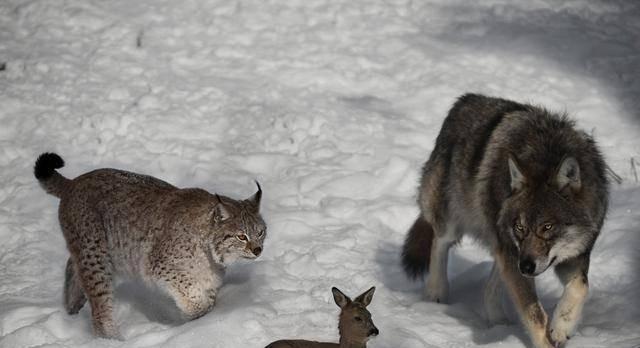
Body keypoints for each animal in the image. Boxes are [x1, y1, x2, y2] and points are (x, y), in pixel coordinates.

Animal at [35, 154, 264, 338]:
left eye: (261, 232)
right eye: (242, 236)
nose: (258, 250)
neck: (210, 252)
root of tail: (74, 182)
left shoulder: (208, 278)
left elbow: (207, 300)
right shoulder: (158, 265)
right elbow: (191, 293)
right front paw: (194, 316)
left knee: (71, 265)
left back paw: (72, 306)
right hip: (96, 256)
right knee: (100, 309)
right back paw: (111, 340)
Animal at [402, 94, 608, 348]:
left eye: (547, 227)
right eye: (520, 227)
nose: (526, 266)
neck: (546, 154)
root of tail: (465, 100)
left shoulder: (575, 255)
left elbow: (581, 287)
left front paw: (561, 328)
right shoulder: (515, 255)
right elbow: (535, 315)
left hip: (503, 248)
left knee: (490, 286)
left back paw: (498, 321)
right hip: (456, 222)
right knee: (439, 243)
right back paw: (436, 293)